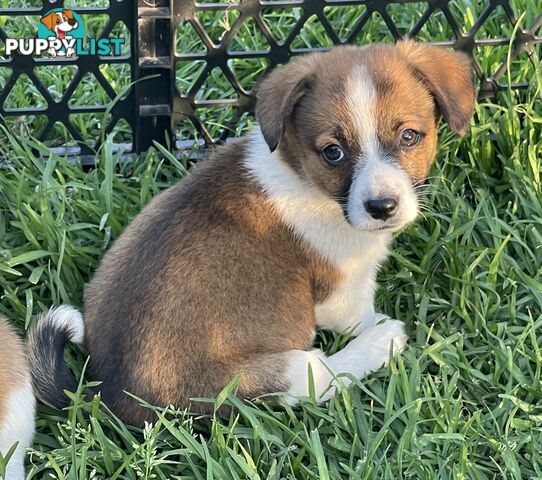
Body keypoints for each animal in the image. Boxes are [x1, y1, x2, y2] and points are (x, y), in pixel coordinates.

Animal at [27, 40, 476, 424]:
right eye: (333, 152)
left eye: (409, 136)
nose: (382, 208)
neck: (302, 171)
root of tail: (105, 391)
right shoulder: (341, 292)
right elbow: (358, 315)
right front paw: (382, 328)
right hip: (283, 369)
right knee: (323, 377)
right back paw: (381, 343)